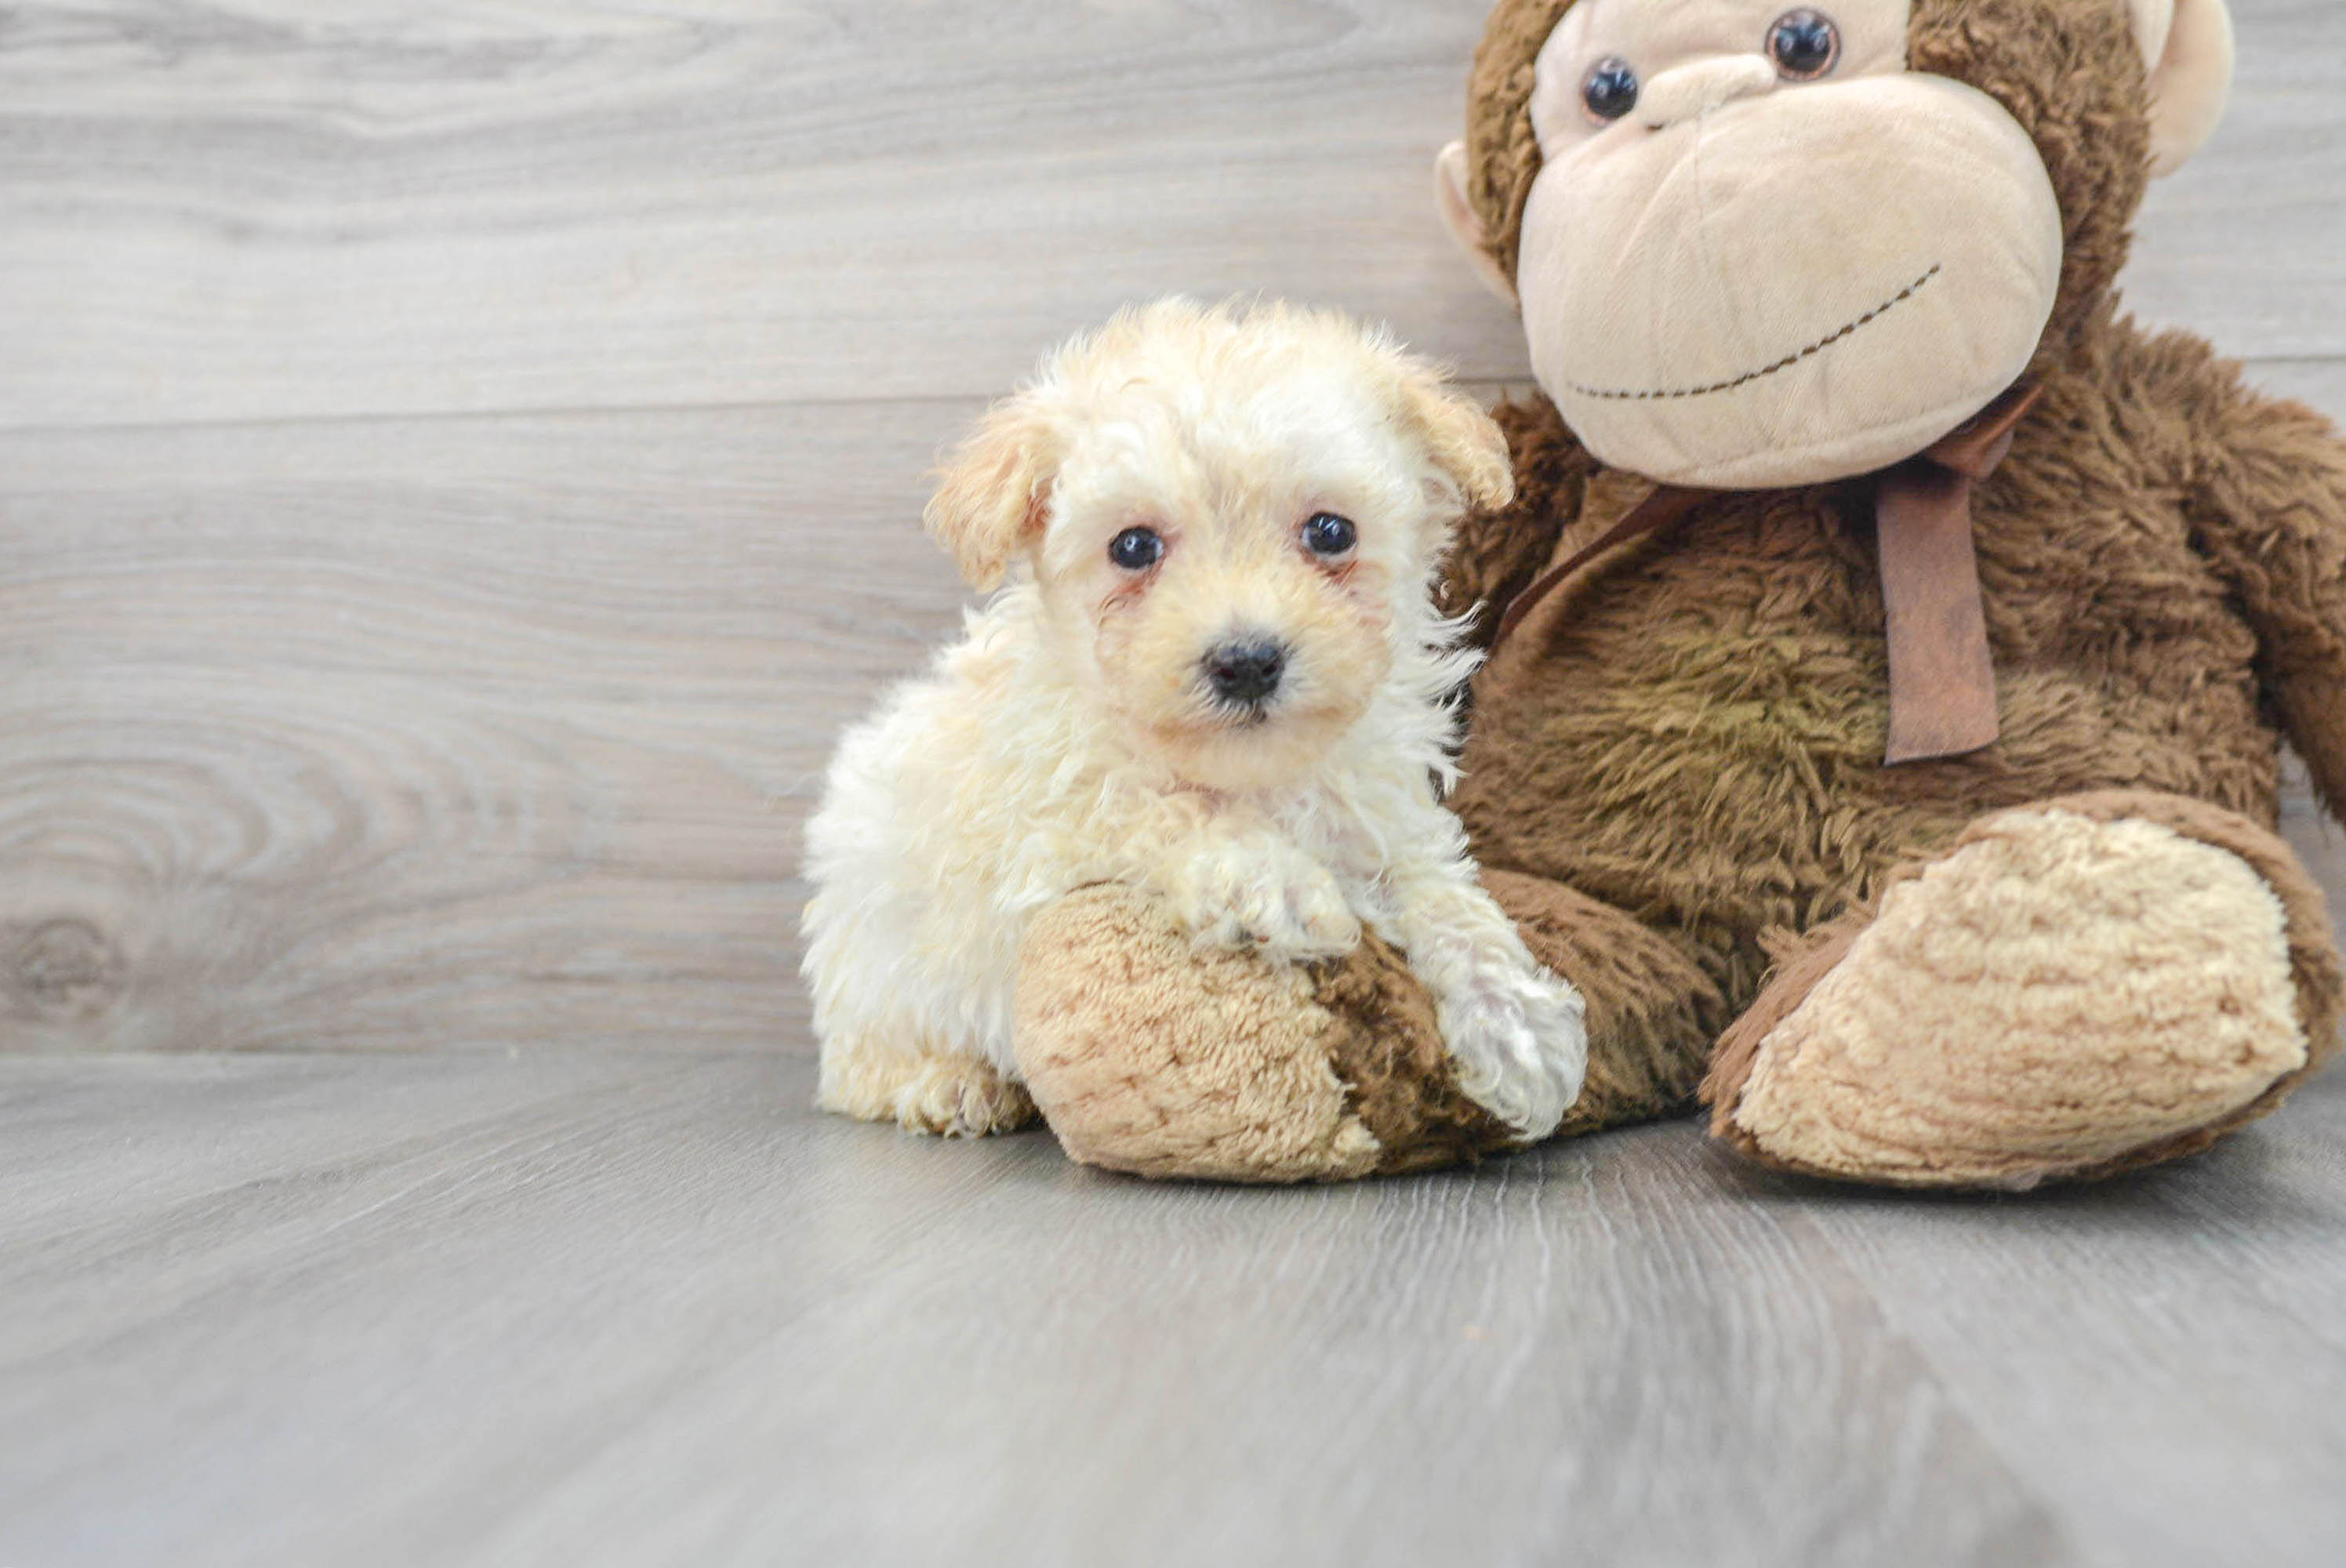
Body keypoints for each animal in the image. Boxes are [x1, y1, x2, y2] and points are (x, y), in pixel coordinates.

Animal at [797, 300, 1585, 1145]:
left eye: (1331, 532)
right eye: (1133, 546)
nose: (1246, 660)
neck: (1252, 774)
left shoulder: (1382, 817)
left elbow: (1442, 893)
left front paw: (1520, 1028)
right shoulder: (1047, 818)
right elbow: (1155, 805)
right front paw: (1274, 881)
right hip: (872, 955)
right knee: (854, 1063)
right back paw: (945, 1083)